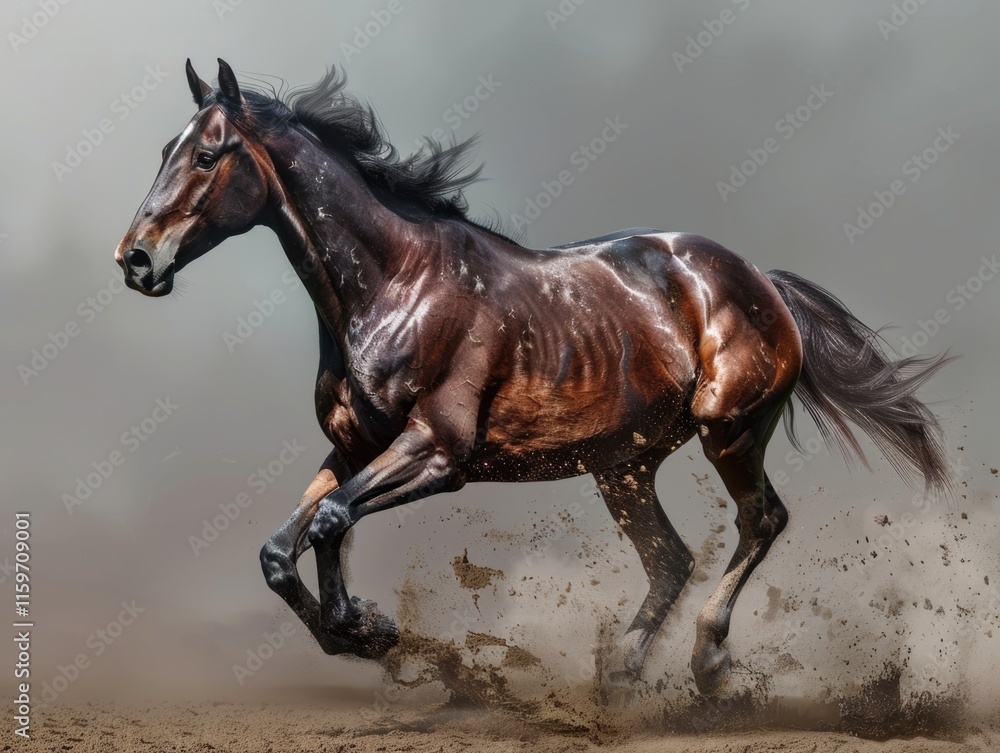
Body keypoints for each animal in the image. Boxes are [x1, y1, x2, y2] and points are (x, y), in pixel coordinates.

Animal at [115, 59, 951, 696]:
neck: (397, 287)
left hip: (730, 432)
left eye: (207, 154)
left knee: (760, 521)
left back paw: (707, 660)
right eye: (162, 148)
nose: (136, 259)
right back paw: (619, 674)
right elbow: (286, 544)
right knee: (671, 558)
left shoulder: (438, 452)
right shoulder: (352, 448)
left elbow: (328, 520)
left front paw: (365, 625)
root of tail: (761, 282)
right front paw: (363, 631)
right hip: (624, 466)